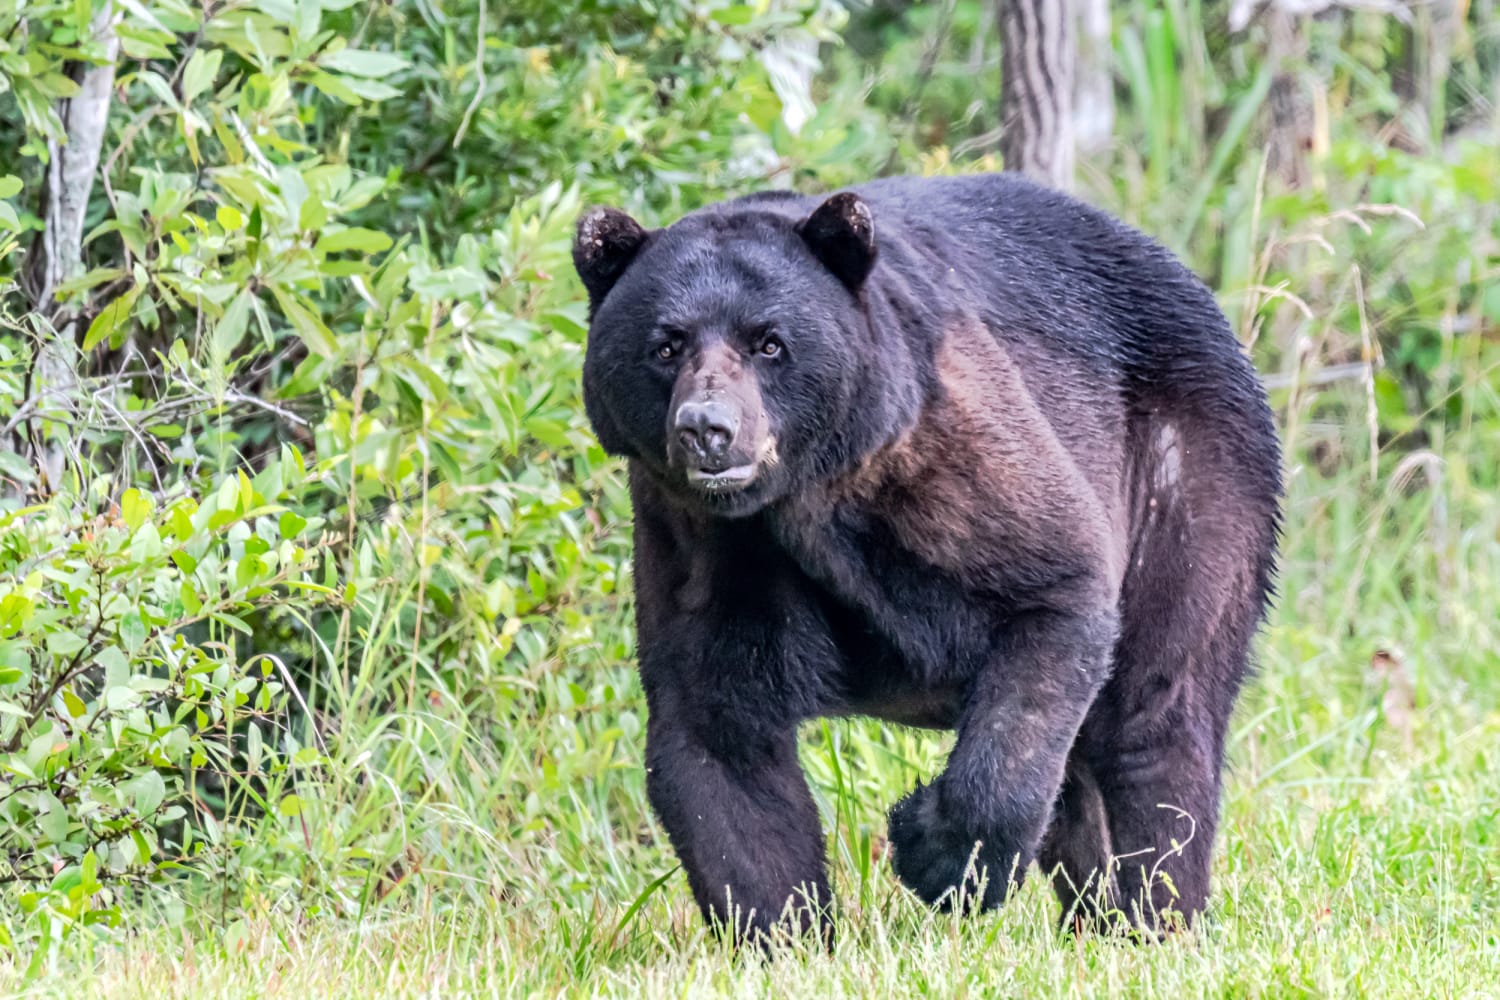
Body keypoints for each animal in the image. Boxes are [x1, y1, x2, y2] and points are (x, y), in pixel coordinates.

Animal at [571, 173, 1282, 945]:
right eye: (666, 345)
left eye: (770, 342)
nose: (707, 429)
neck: (801, 498)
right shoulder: (707, 540)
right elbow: (717, 731)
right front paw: (787, 933)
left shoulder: (938, 453)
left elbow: (1052, 591)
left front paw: (939, 856)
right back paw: (1099, 915)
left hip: (1183, 464)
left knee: (1157, 707)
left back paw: (1156, 913)